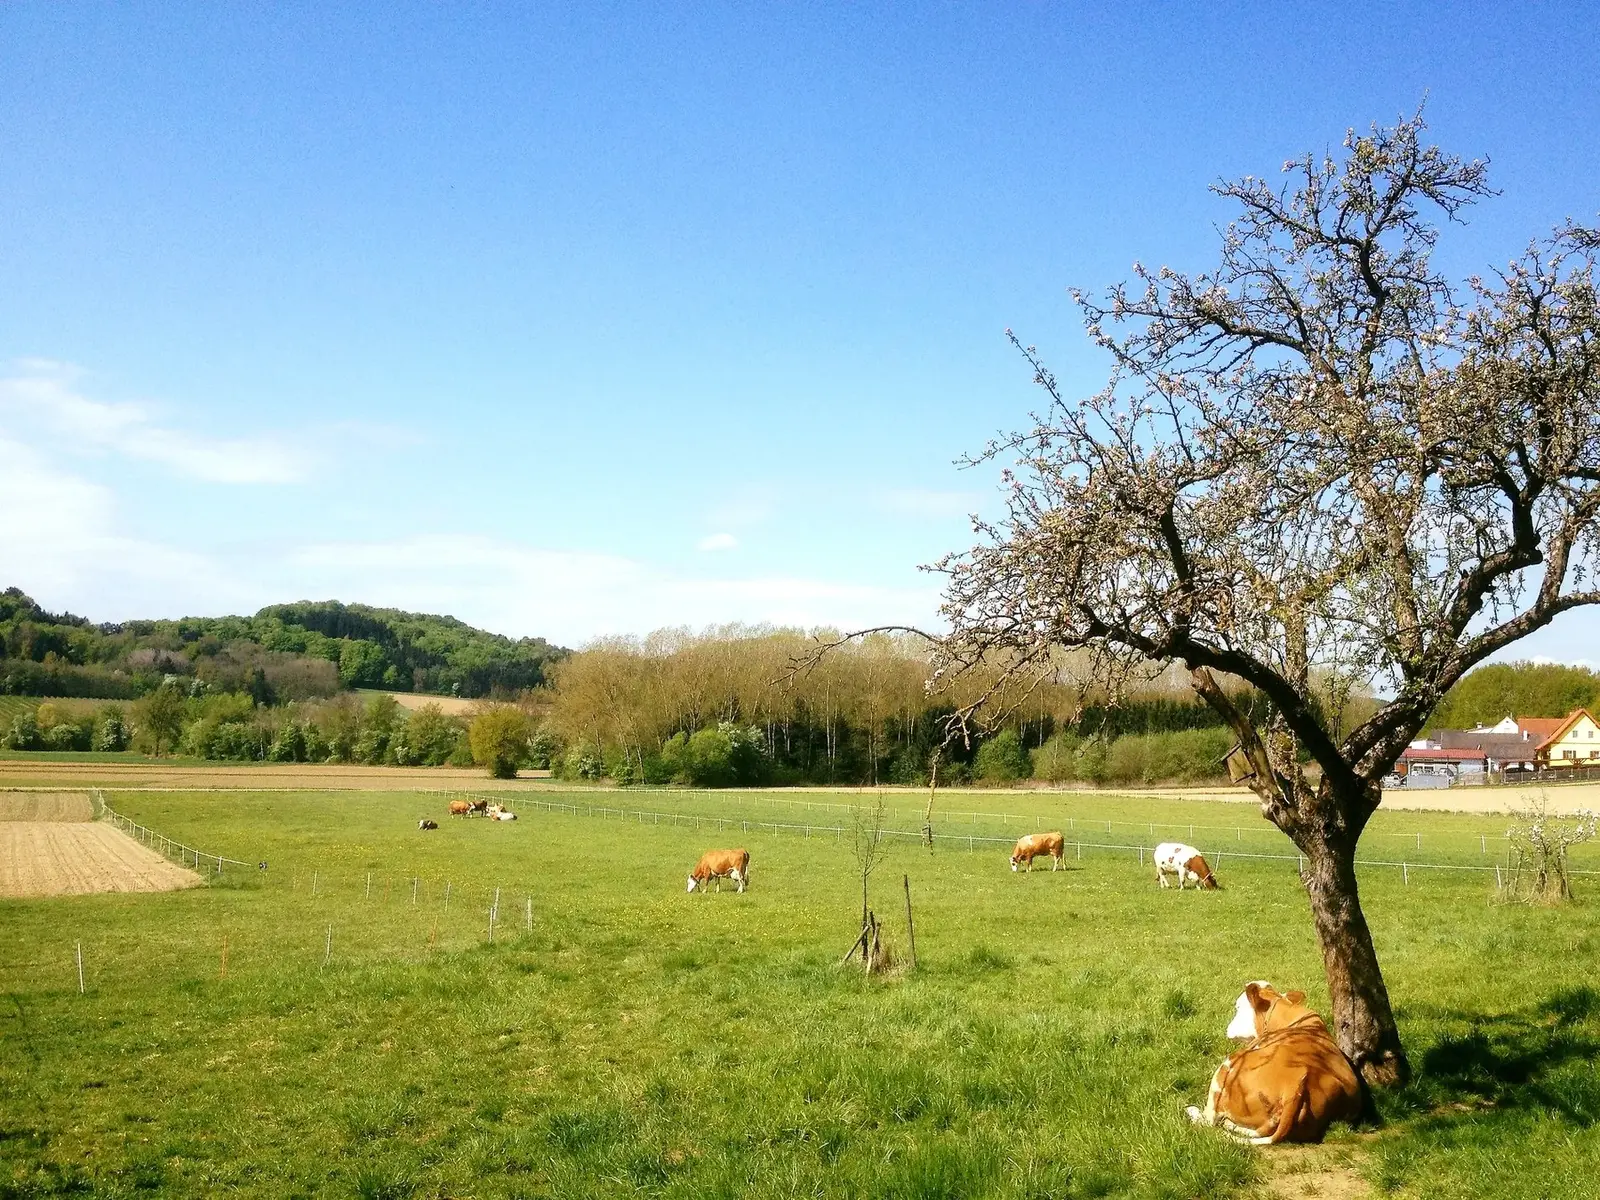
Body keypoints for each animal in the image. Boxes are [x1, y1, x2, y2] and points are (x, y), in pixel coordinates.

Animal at [1186, 982, 1365, 1144]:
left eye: (1237, 1007)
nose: (1227, 1029)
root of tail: (1293, 1084)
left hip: (1228, 1065)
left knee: (1210, 1120)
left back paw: (1193, 1112)